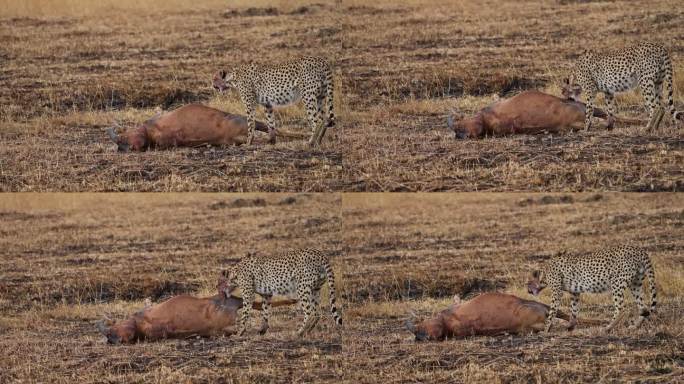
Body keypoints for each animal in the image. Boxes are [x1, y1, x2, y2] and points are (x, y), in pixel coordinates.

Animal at [528, 246, 656, 332]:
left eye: (528, 283)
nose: (528, 291)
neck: (544, 272)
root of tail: (638, 249)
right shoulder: (575, 292)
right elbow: (574, 310)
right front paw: (570, 326)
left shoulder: (556, 292)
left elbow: (553, 311)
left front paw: (546, 329)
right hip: (635, 284)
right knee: (643, 308)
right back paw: (635, 326)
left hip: (617, 283)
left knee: (622, 307)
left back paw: (608, 327)